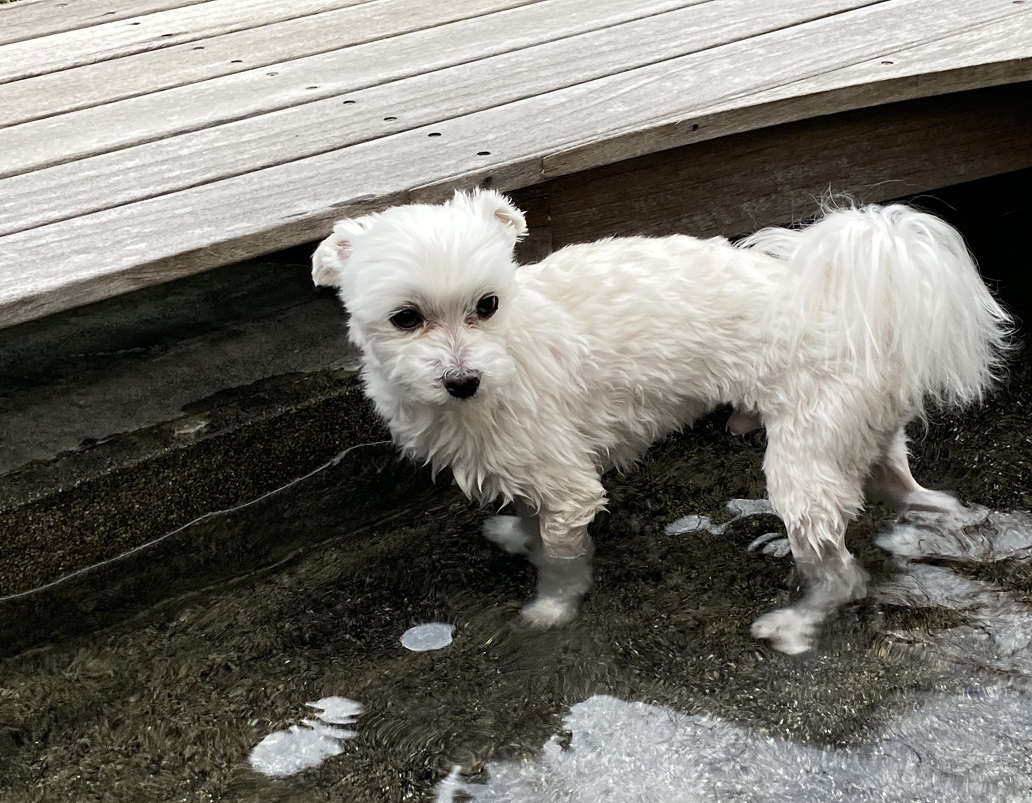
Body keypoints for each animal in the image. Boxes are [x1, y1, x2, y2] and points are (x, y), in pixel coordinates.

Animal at [311, 187, 1007, 652]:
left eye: (486, 304)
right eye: (405, 317)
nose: (463, 380)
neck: (507, 350)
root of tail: (863, 304)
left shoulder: (567, 483)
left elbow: (561, 558)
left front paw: (552, 609)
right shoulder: (532, 469)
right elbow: (532, 523)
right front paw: (516, 535)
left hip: (807, 452)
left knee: (840, 571)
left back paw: (795, 621)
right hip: (858, 431)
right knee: (902, 489)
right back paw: (942, 517)